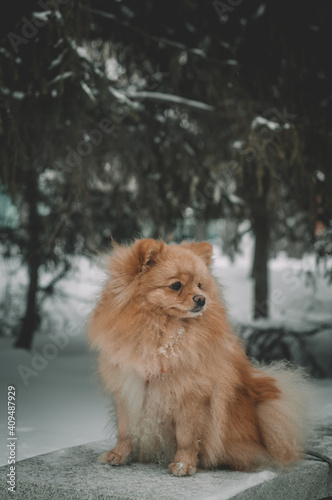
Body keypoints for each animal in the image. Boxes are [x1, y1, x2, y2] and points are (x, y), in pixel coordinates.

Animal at [88, 238, 308, 476]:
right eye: (176, 286)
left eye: (200, 286)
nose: (202, 299)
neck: (163, 336)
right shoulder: (128, 389)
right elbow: (126, 431)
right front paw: (118, 455)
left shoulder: (190, 397)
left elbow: (186, 437)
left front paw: (183, 465)